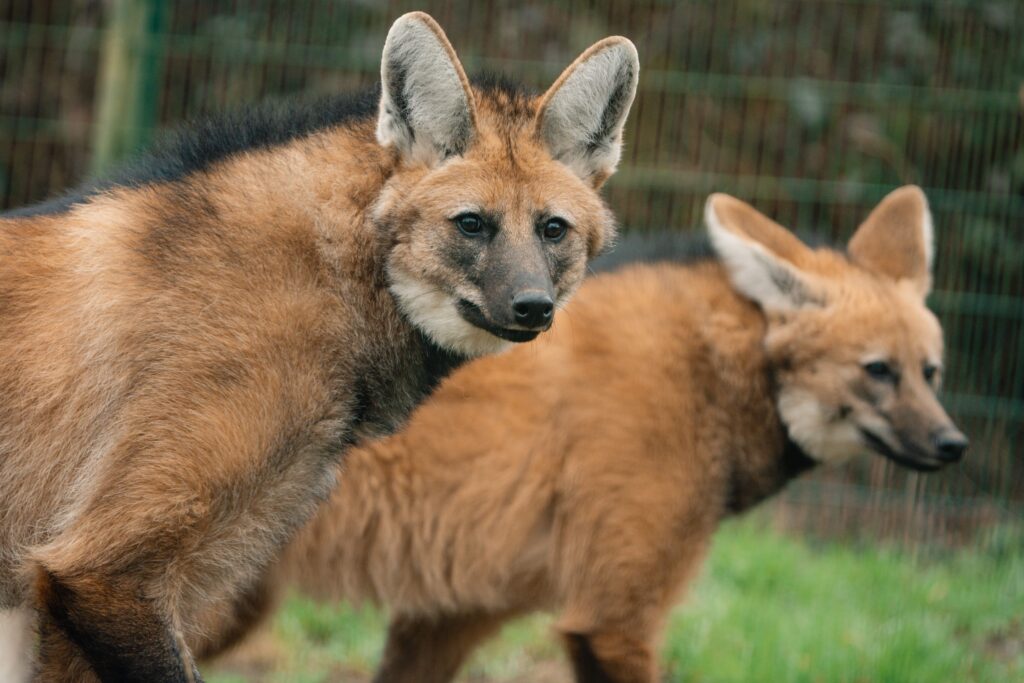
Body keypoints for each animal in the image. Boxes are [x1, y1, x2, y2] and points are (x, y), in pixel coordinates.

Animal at [203, 186, 966, 682]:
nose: (953, 444)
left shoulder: (456, 607)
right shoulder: (612, 618)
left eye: (930, 371)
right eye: (878, 371)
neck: (712, 376)